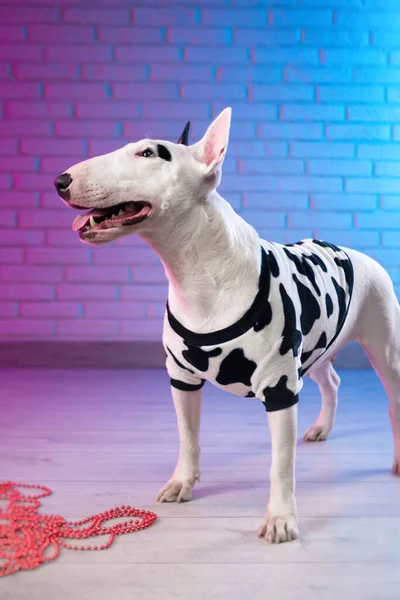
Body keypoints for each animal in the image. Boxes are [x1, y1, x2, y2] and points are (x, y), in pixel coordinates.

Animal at [55, 108, 400, 544]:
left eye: (149, 153)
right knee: (332, 381)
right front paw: (181, 483)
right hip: (316, 347)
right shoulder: (181, 376)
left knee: (391, 399)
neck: (198, 275)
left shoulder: (280, 385)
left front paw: (280, 519)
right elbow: (188, 437)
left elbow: (280, 464)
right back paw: (322, 428)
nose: (60, 181)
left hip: (383, 347)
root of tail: (356, 254)